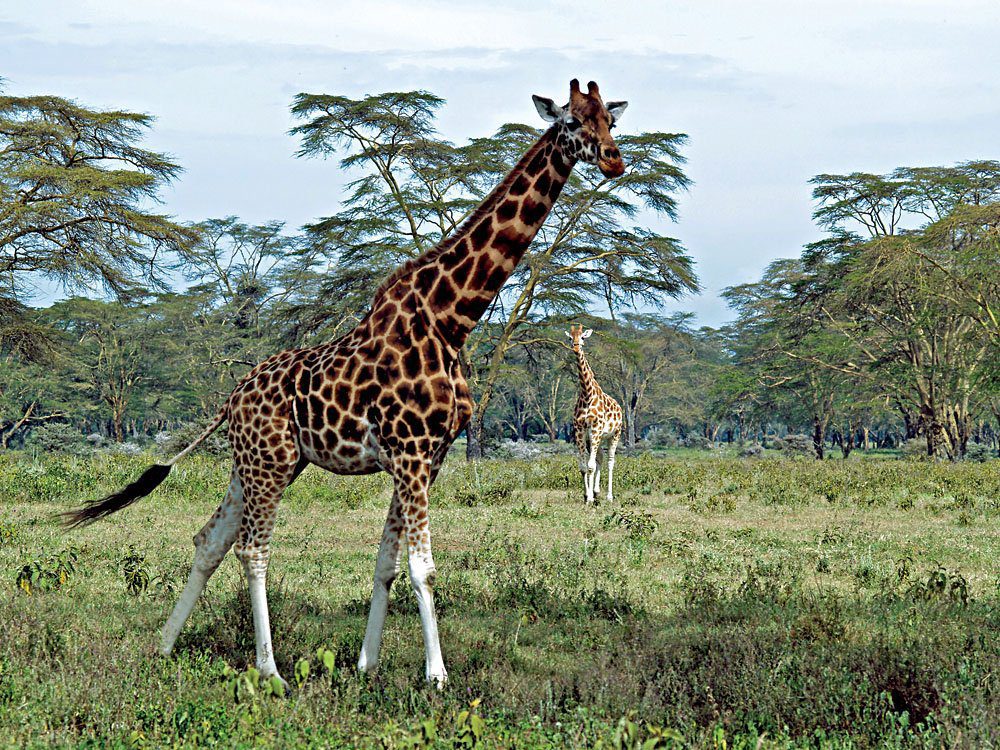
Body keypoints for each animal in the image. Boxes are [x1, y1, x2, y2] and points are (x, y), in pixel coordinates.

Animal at [567, 324, 623, 505]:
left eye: (583, 337)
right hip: (594, 438)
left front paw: (590, 498)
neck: (587, 394)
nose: (576, 347)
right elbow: (584, 467)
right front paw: (587, 495)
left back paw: (609, 496)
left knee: (610, 461)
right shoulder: (580, 431)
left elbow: (591, 466)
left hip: (614, 434)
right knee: (600, 458)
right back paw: (597, 491)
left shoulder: (596, 429)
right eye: (570, 337)